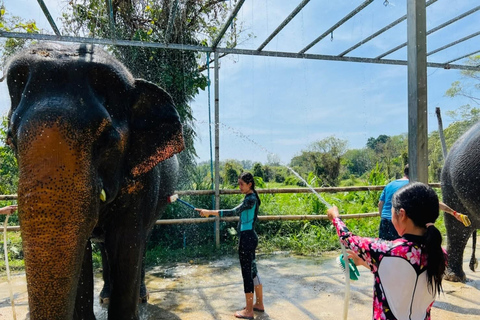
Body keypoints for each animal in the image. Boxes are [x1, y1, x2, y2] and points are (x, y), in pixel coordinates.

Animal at [4, 42, 185, 318]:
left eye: (107, 140)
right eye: (11, 139)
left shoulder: (143, 180)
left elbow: (127, 244)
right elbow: (82, 253)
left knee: (141, 242)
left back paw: (141, 297)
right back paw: (105, 296)